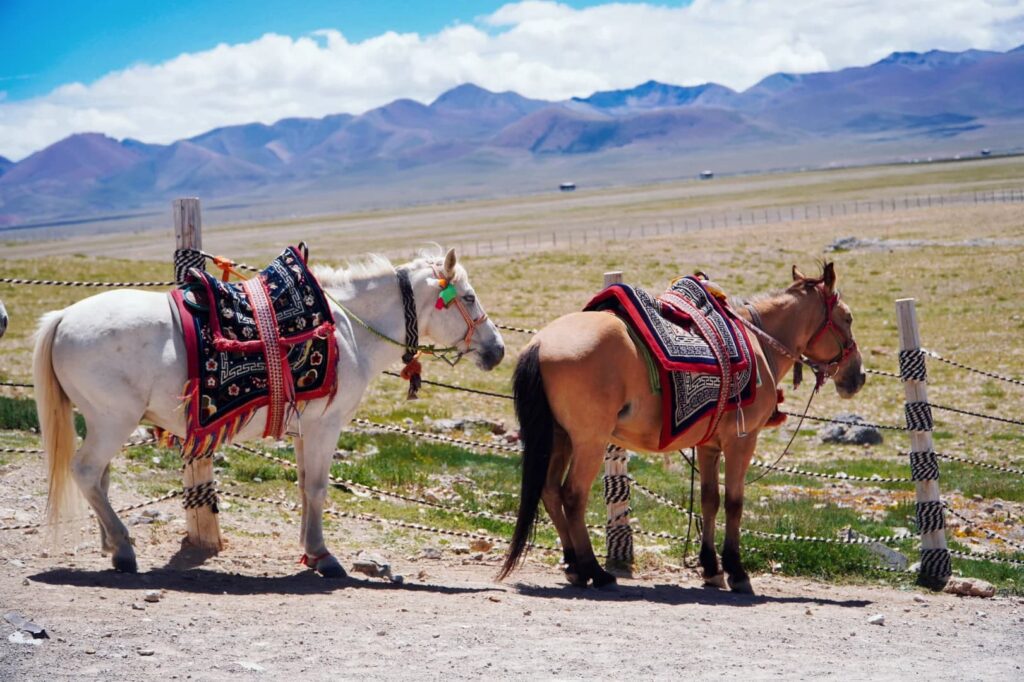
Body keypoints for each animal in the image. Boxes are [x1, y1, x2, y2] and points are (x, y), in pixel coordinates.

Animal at [34, 247, 505, 577]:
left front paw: (310, 552)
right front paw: (324, 557)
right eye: (468, 297)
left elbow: (303, 488)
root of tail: (63, 317)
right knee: (86, 471)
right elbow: (317, 489)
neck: (348, 330)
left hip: (101, 422)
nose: (497, 350)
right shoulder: (325, 427)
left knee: (99, 478)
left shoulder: (304, 431)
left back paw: (112, 548)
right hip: (112, 421)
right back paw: (124, 548)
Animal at [498, 263, 864, 592]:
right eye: (847, 318)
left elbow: (709, 500)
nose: (857, 376)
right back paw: (595, 572)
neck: (761, 347)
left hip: (559, 437)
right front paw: (736, 572)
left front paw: (711, 569)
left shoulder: (708, 445)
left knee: (549, 491)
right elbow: (734, 503)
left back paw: (574, 565)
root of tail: (540, 343)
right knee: (572, 495)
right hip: (590, 440)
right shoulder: (741, 441)